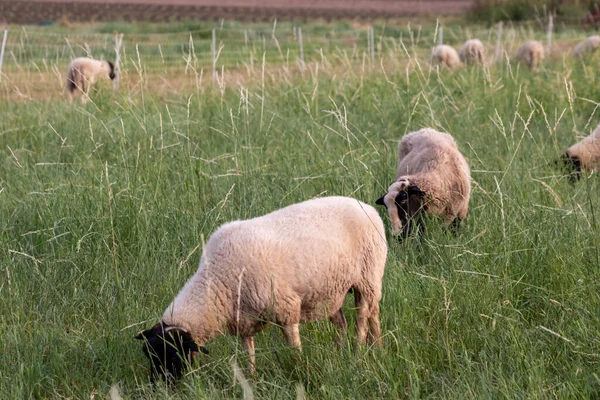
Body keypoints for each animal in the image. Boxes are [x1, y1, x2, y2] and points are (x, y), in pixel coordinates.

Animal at [135, 195, 390, 382]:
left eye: (173, 354)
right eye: (149, 354)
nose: (159, 386)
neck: (218, 278)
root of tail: (367, 207)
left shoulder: (286, 308)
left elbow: (293, 347)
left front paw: (298, 371)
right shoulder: (242, 319)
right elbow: (249, 351)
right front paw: (251, 377)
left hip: (367, 277)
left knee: (363, 318)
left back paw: (358, 352)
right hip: (333, 289)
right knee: (361, 318)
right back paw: (367, 349)